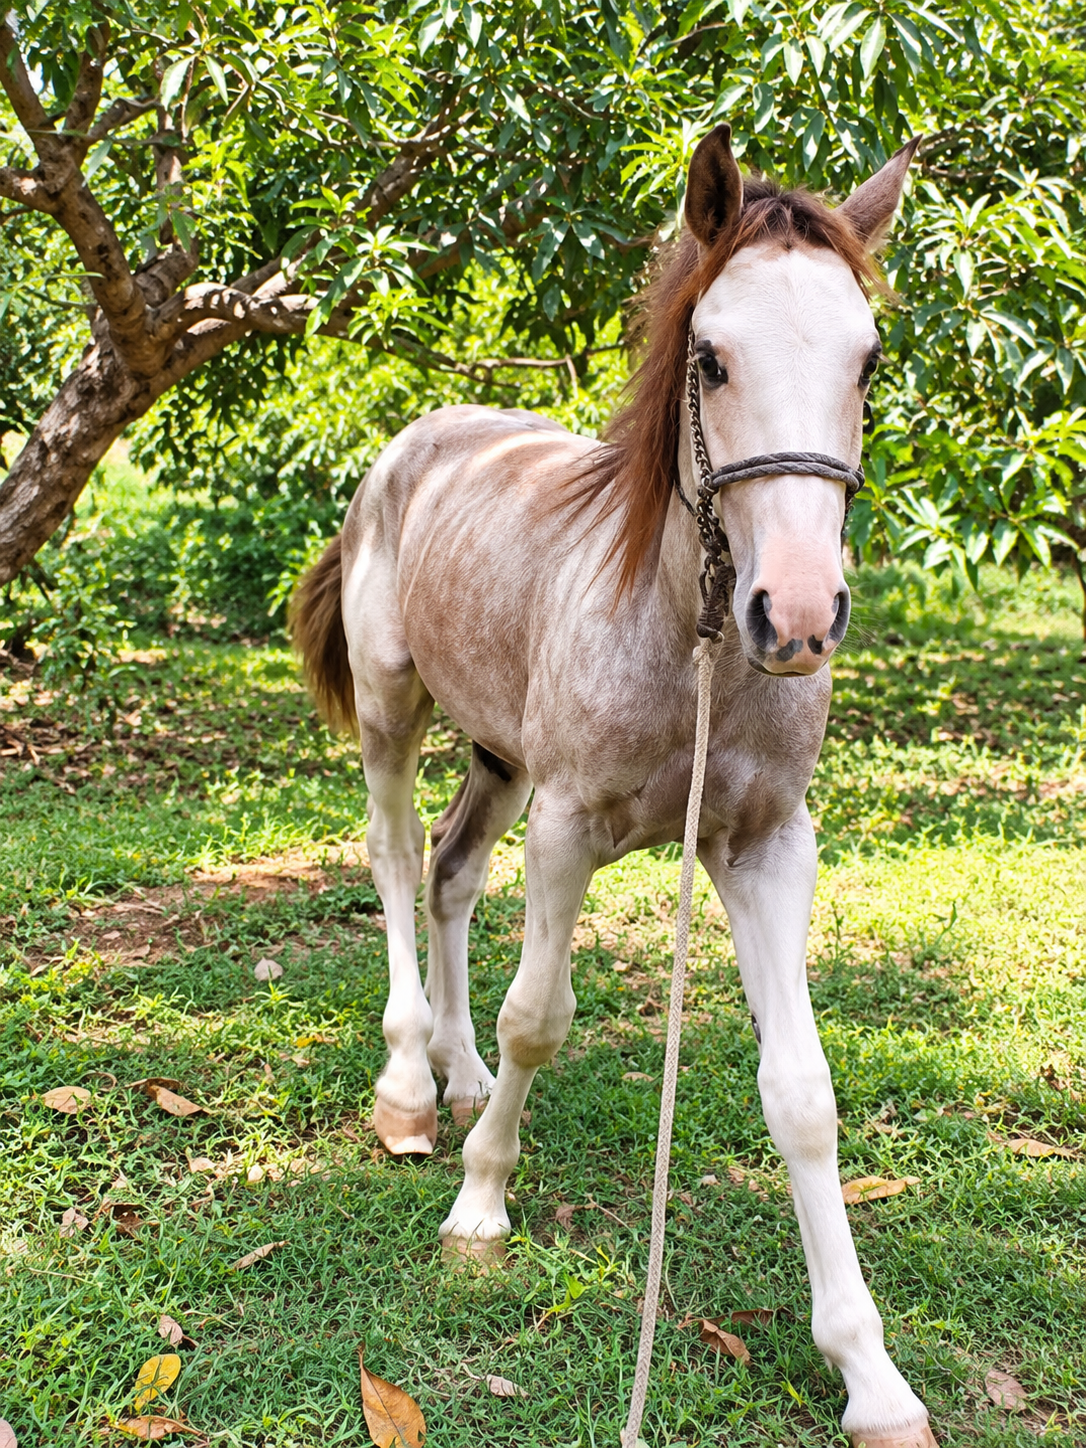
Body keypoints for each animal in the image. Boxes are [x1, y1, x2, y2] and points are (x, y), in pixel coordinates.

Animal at [291, 124, 935, 1448]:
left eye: (868, 358)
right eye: (712, 356)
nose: (799, 617)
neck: (690, 639)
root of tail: (418, 440)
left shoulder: (766, 847)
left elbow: (803, 1091)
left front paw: (870, 1371)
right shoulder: (569, 827)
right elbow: (542, 1012)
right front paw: (481, 1206)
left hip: (499, 755)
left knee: (450, 870)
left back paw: (458, 1068)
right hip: (391, 708)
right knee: (394, 858)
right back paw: (411, 1086)